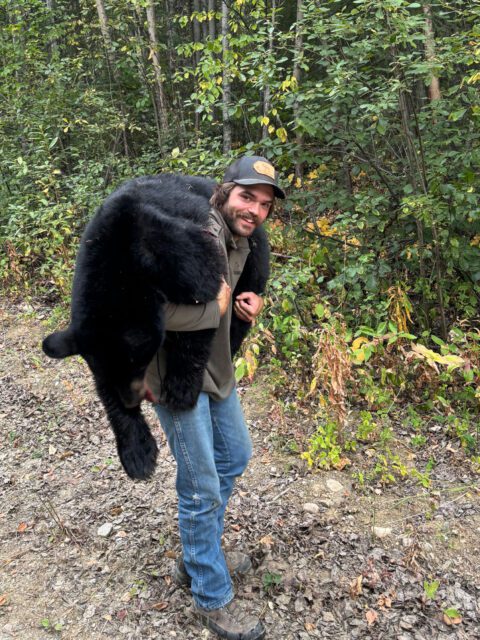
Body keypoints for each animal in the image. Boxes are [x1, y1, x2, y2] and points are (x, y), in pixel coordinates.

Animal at [42, 174, 270, 481]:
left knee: (242, 307)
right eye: (107, 373)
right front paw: (137, 453)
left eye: (141, 362)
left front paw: (181, 390)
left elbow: (205, 303)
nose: (131, 400)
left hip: (255, 260)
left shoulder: (177, 248)